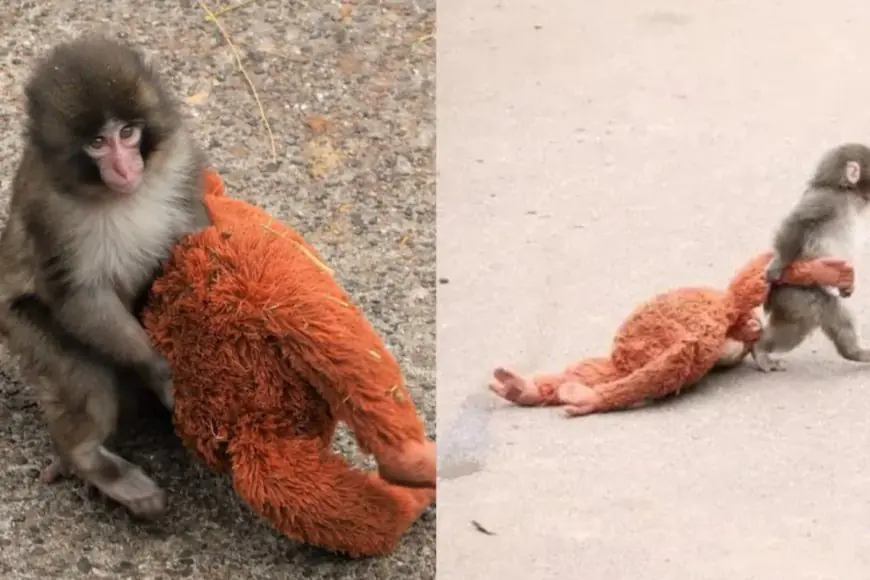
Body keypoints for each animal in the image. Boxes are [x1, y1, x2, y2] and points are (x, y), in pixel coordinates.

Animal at [0, 35, 211, 518]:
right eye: (98, 142)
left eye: (127, 134)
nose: (125, 167)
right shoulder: (50, 212)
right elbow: (80, 297)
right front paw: (160, 370)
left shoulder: (180, 161)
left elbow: (194, 234)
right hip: (19, 326)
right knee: (83, 374)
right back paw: (88, 460)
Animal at [751, 143, 870, 372]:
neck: (846, 193)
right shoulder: (825, 201)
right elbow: (798, 222)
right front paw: (777, 264)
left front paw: (847, 286)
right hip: (796, 294)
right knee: (800, 322)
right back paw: (759, 350)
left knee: (835, 315)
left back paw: (855, 353)